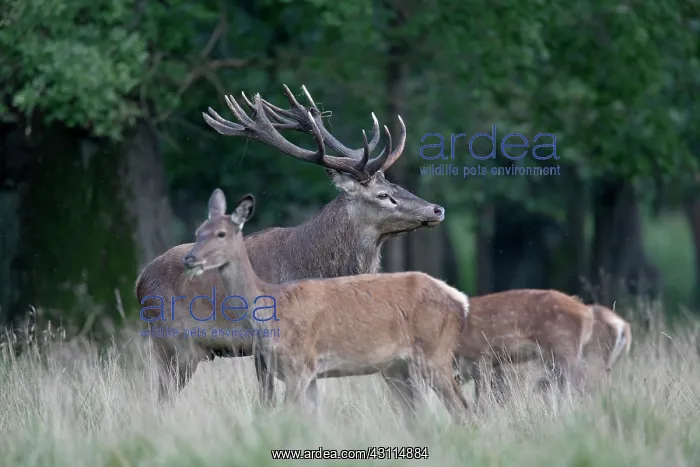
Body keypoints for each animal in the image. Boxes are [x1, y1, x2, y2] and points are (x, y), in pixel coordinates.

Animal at [135, 85, 446, 405]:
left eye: (397, 185)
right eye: (384, 195)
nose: (436, 209)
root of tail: (139, 282)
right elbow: (270, 399)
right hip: (173, 344)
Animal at [178, 188, 471, 422]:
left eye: (221, 234)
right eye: (198, 231)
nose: (190, 258)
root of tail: (459, 298)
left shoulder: (300, 366)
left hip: (433, 356)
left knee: (461, 409)